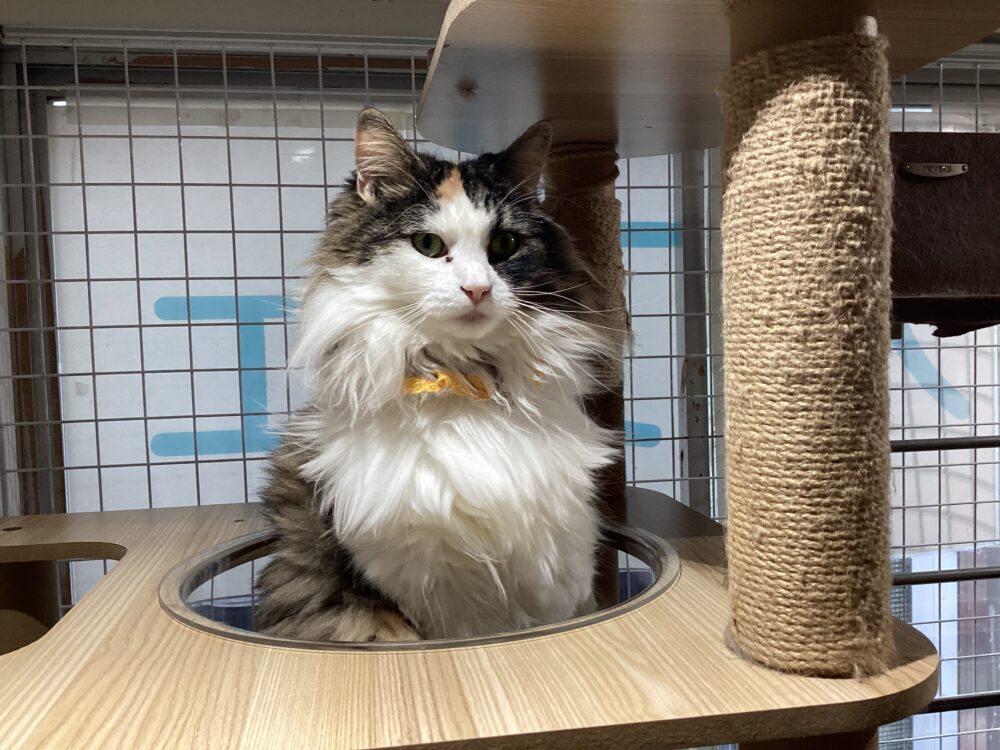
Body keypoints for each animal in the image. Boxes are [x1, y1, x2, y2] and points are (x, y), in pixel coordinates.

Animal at [255, 108, 619, 642]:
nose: (477, 289)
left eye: (505, 244)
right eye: (427, 244)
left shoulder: (560, 566)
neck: (463, 379)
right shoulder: (418, 587)